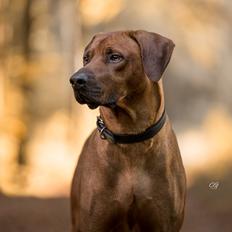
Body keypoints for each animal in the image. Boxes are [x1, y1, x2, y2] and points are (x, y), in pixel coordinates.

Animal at [69, 29, 187, 231]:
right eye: (86, 58)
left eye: (115, 57)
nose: (75, 80)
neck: (130, 136)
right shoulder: (92, 223)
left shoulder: (165, 223)